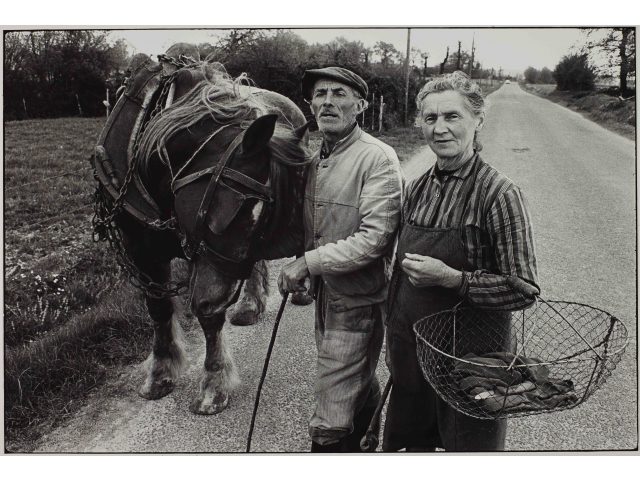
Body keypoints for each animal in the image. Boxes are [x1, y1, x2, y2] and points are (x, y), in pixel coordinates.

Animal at [92, 53, 310, 414]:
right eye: (237, 209)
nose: (219, 299)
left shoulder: (208, 262)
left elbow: (209, 321)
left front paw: (213, 383)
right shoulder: (141, 250)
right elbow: (158, 309)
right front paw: (160, 373)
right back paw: (250, 304)